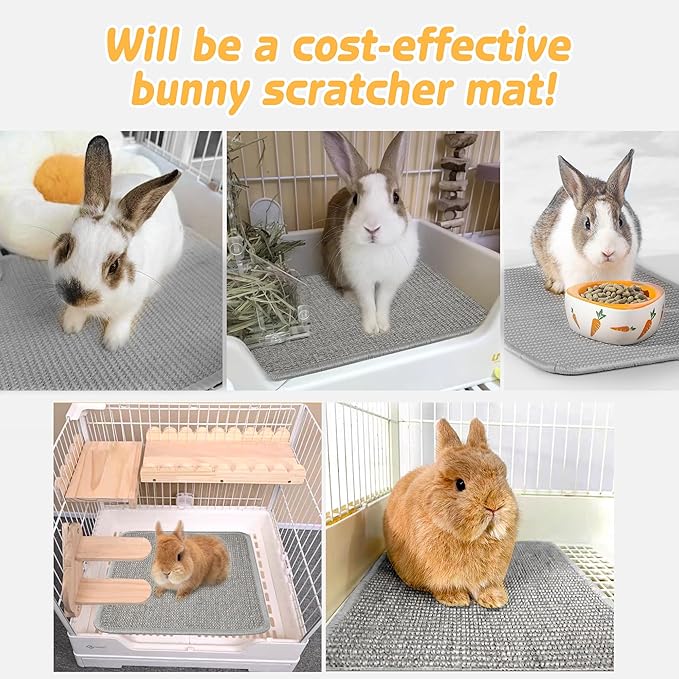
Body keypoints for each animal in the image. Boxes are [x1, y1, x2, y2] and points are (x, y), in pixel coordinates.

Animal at [48, 135, 184, 351]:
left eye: (114, 266)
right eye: (67, 247)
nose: (74, 296)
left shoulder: (132, 303)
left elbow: (121, 319)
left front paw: (113, 343)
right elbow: (77, 312)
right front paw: (70, 325)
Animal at [321, 131, 419, 335]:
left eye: (396, 196)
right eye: (355, 199)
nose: (372, 228)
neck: (377, 248)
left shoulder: (390, 282)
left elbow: (382, 302)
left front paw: (383, 326)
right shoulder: (362, 280)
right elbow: (368, 303)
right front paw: (371, 329)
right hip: (335, 264)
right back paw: (351, 297)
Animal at [384, 418, 518, 609]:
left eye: (504, 477)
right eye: (460, 484)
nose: (495, 506)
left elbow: (487, 587)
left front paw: (495, 599)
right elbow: (447, 587)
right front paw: (456, 599)